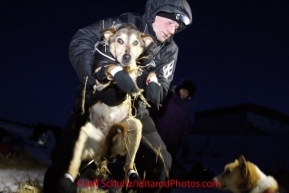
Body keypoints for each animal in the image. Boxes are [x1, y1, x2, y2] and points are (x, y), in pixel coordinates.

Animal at [66, 23, 155, 182]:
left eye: (135, 42)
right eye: (119, 40)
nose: (127, 57)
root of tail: (106, 146)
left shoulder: (135, 86)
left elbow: (148, 75)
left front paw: (153, 84)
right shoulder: (99, 84)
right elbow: (110, 67)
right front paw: (117, 73)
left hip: (135, 128)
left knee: (127, 164)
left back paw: (132, 174)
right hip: (85, 133)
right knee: (74, 165)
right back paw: (67, 179)